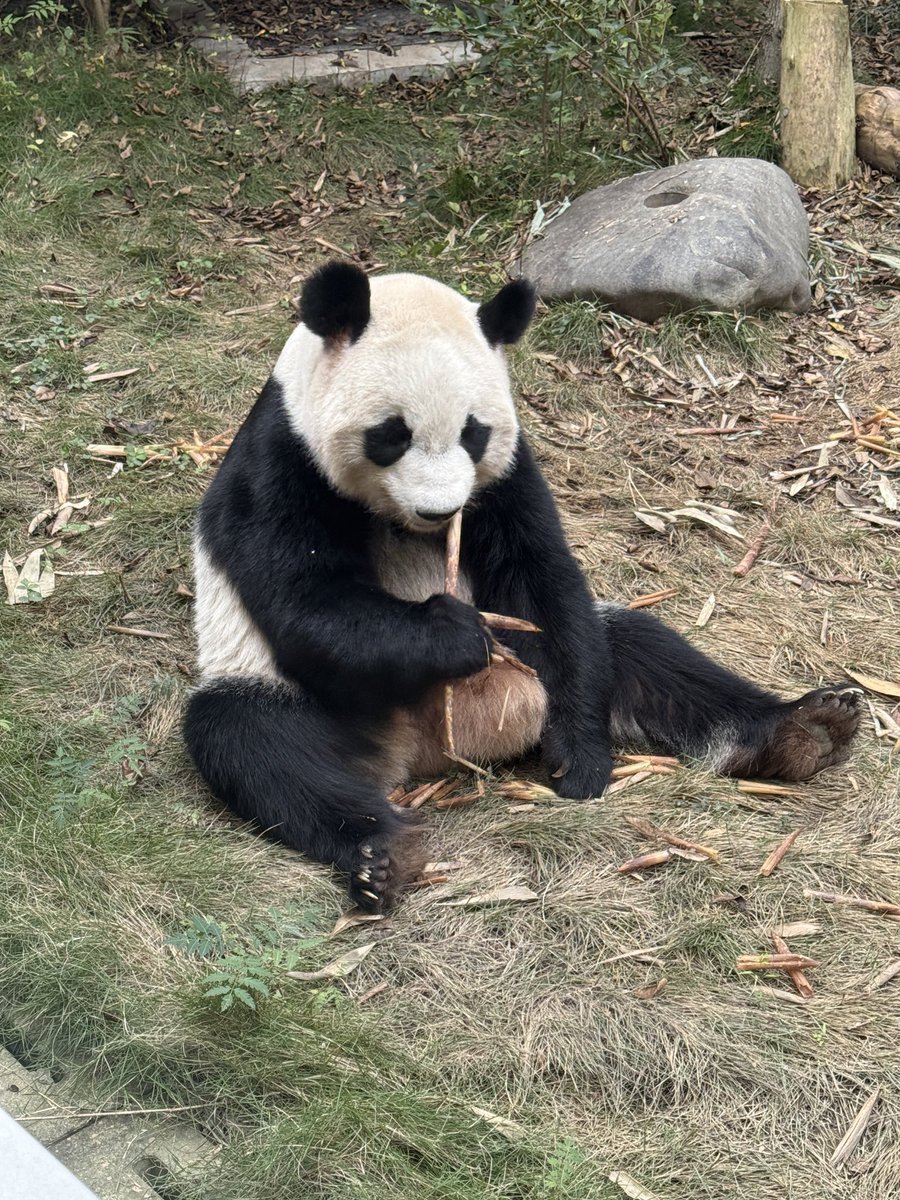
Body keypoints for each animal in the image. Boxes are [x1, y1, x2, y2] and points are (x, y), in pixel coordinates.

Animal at [185, 262, 861, 912]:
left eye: (473, 432)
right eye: (392, 434)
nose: (439, 510)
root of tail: (425, 753)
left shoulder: (507, 475)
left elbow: (539, 579)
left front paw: (580, 760)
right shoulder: (282, 461)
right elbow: (305, 600)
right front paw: (454, 634)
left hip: (568, 658)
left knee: (641, 653)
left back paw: (807, 730)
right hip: (309, 697)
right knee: (256, 741)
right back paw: (382, 854)